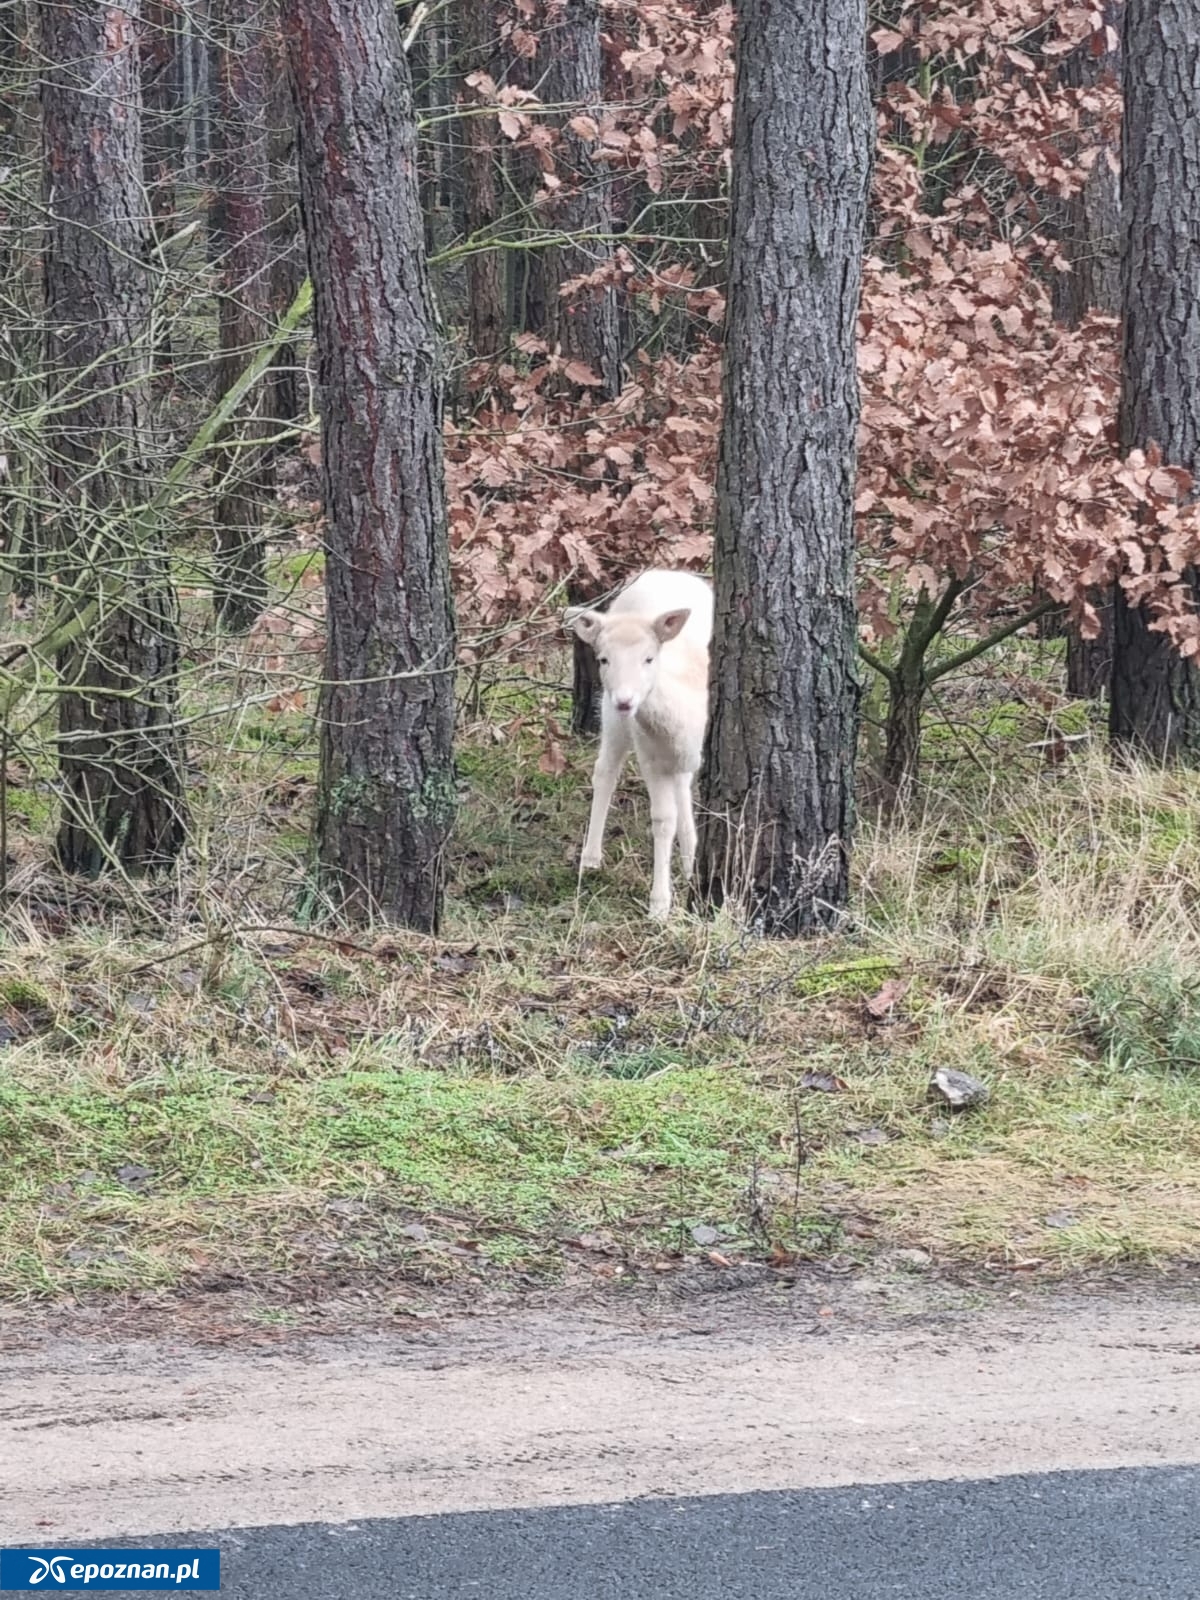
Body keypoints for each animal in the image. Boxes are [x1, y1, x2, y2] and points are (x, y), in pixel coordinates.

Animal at [566, 569, 713, 921]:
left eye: (649, 658)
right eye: (603, 659)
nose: (625, 701)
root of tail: (663, 572)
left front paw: (689, 868)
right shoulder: (649, 756)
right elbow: (662, 820)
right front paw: (659, 905)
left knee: (682, 786)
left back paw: (689, 859)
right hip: (611, 716)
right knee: (605, 771)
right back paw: (590, 859)